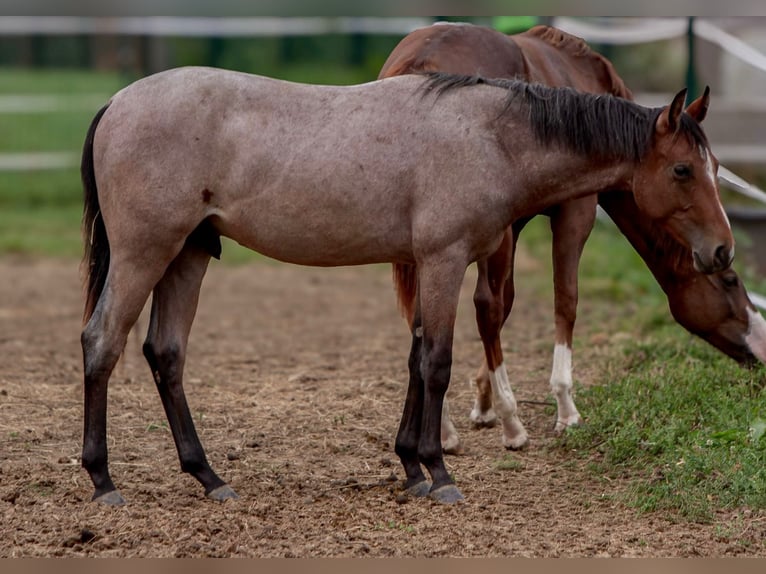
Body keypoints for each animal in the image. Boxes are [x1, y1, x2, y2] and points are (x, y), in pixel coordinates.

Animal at [80, 66, 732, 506]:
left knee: (166, 354)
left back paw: (209, 477)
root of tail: (116, 101)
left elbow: (417, 360)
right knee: (101, 343)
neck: (492, 137)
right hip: (145, 255)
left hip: (188, 255)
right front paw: (439, 474)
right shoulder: (444, 261)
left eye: (716, 168)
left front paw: (412, 469)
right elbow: (437, 363)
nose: (723, 250)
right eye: (682, 169)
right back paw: (103, 480)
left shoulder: (430, 266)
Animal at [379, 22, 766, 454]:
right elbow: (562, 301)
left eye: (714, 165)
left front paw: (484, 400)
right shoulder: (574, 214)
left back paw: (447, 428)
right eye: (730, 281)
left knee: (429, 319)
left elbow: (507, 301)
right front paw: (563, 407)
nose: (761, 346)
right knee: (482, 307)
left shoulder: (513, 227)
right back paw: (511, 425)